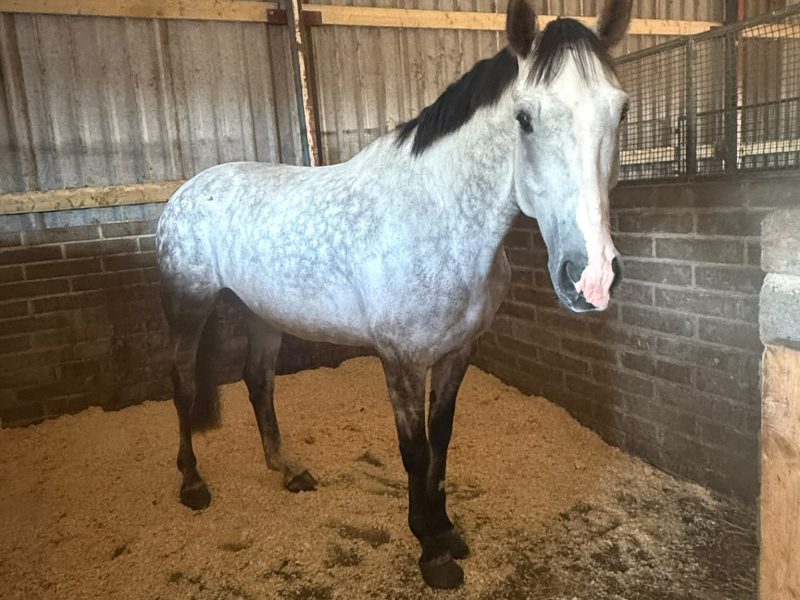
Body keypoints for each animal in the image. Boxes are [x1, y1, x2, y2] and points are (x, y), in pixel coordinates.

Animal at [155, 0, 632, 589]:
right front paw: (431, 552)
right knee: (183, 384)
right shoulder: (401, 359)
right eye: (524, 117)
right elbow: (414, 451)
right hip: (188, 307)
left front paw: (447, 531)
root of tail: (186, 190)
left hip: (261, 314)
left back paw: (288, 471)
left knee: (258, 382)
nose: (592, 277)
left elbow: (441, 442)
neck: (439, 216)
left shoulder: (456, 353)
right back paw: (193, 484)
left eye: (621, 111)